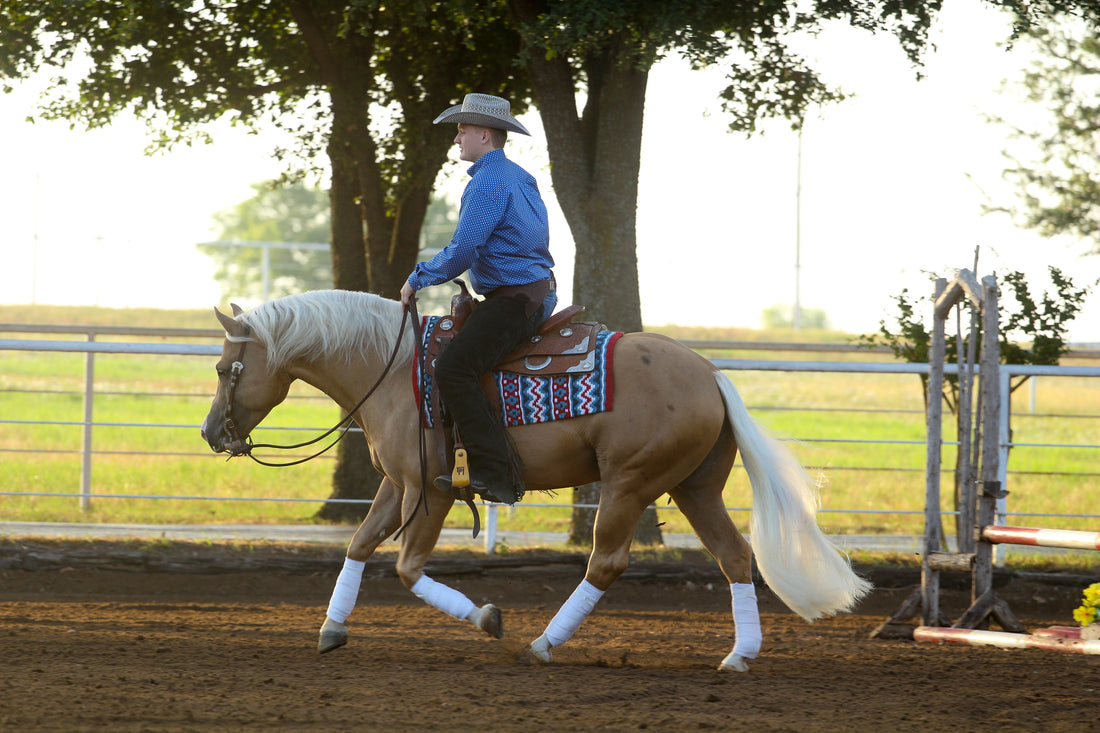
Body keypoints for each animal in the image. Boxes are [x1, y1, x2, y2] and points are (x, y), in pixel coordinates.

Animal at [198, 288, 866, 669]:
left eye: (227, 368)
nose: (211, 434)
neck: (391, 370)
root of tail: (711, 375)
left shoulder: (433, 490)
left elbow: (409, 569)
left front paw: (488, 619)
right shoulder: (398, 485)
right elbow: (360, 546)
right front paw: (332, 628)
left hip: (629, 484)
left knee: (606, 562)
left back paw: (545, 644)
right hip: (694, 489)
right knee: (733, 556)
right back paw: (738, 655)